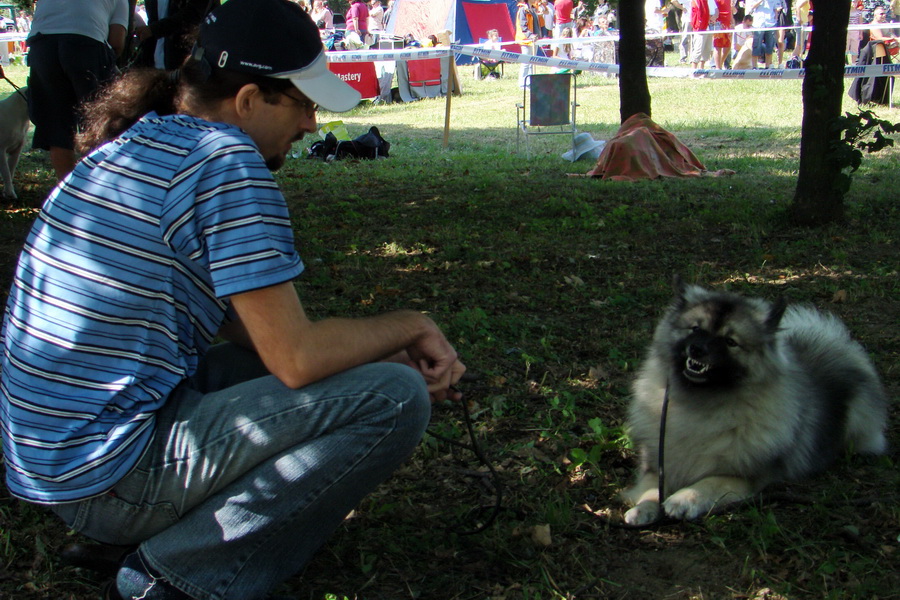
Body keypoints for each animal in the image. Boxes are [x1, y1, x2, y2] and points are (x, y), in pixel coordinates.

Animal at [624, 278, 888, 524]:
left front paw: (684, 498)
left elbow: (709, 482)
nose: (697, 349)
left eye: (730, 341)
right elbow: (651, 489)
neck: (700, 403)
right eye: (695, 329)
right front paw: (643, 508)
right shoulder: (655, 465)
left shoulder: (744, 477)